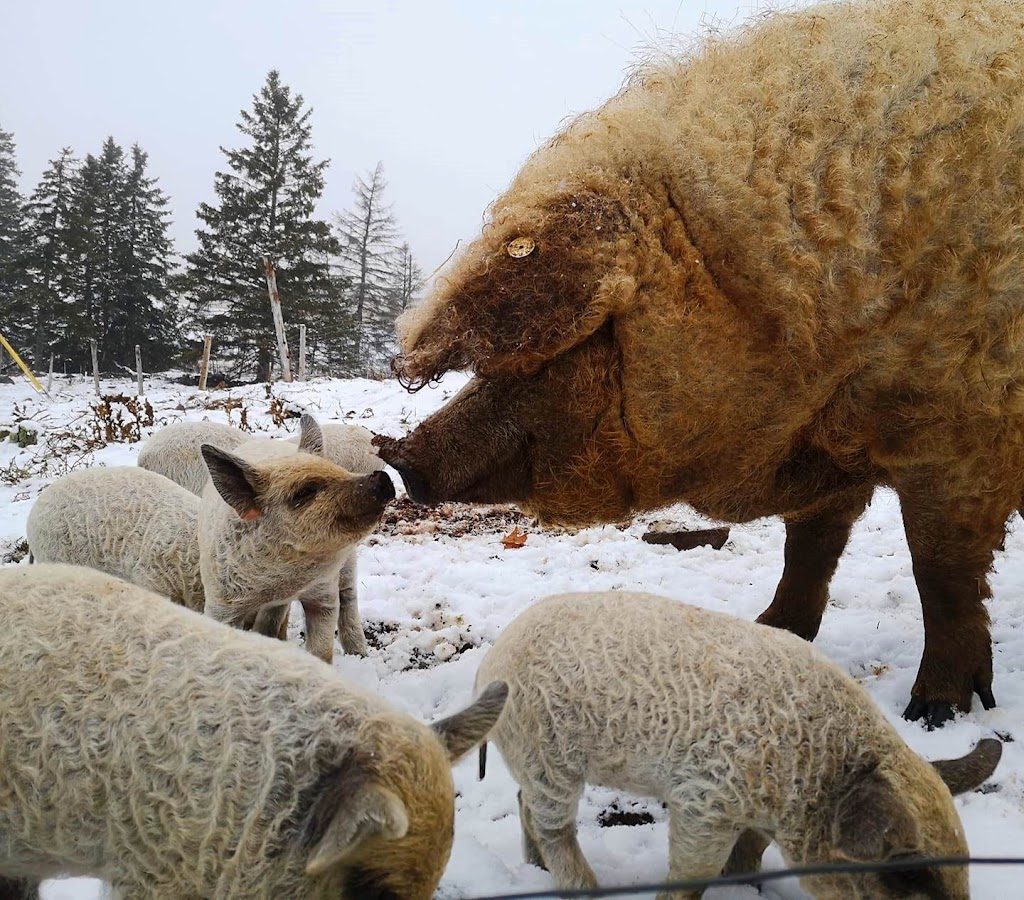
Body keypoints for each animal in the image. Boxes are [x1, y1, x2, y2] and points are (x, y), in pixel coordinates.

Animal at [376, 0, 1024, 733]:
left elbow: (940, 569)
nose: (397, 453)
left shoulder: (964, 430)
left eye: (560, 352)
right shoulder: (829, 443)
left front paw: (933, 713)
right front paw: (771, 631)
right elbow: (809, 545)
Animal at [475, 593, 1003, 896]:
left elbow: (748, 853)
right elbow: (693, 873)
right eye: (910, 874)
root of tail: (490, 664)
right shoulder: (703, 801)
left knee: (525, 803)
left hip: (533, 761)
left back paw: (536, 870)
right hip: (548, 756)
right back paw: (584, 886)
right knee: (554, 827)